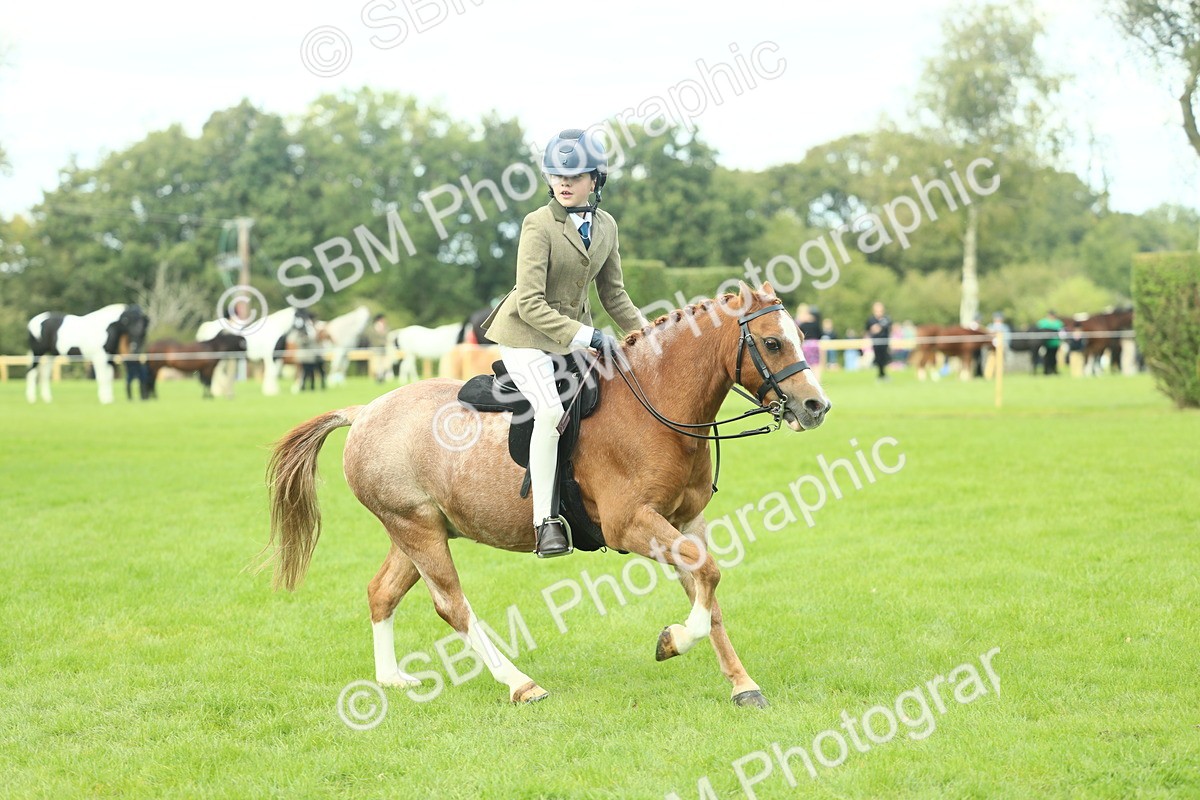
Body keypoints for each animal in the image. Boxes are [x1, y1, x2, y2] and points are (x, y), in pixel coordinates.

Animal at [263, 283, 832, 706]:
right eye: (773, 343)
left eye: (801, 335)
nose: (816, 406)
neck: (657, 404)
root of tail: (365, 411)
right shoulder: (632, 523)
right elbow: (707, 577)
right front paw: (673, 641)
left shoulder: (685, 522)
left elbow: (707, 592)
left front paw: (741, 685)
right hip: (416, 528)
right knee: (452, 606)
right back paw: (520, 684)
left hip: (418, 530)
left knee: (382, 592)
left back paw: (391, 680)